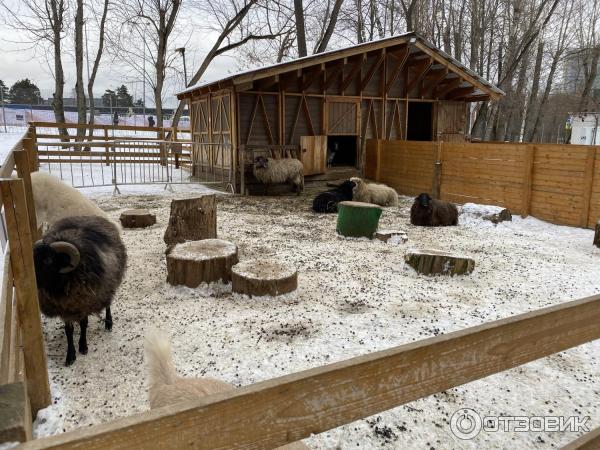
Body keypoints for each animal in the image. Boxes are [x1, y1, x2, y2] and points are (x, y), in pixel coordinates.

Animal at [34, 215, 127, 366]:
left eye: (48, 260)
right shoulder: (65, 308)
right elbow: (69, 330)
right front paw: (70, 355)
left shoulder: (85, 302)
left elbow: (84, 324)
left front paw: (83, 346)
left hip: (107, 286)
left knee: (107, 303)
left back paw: (108, 323)